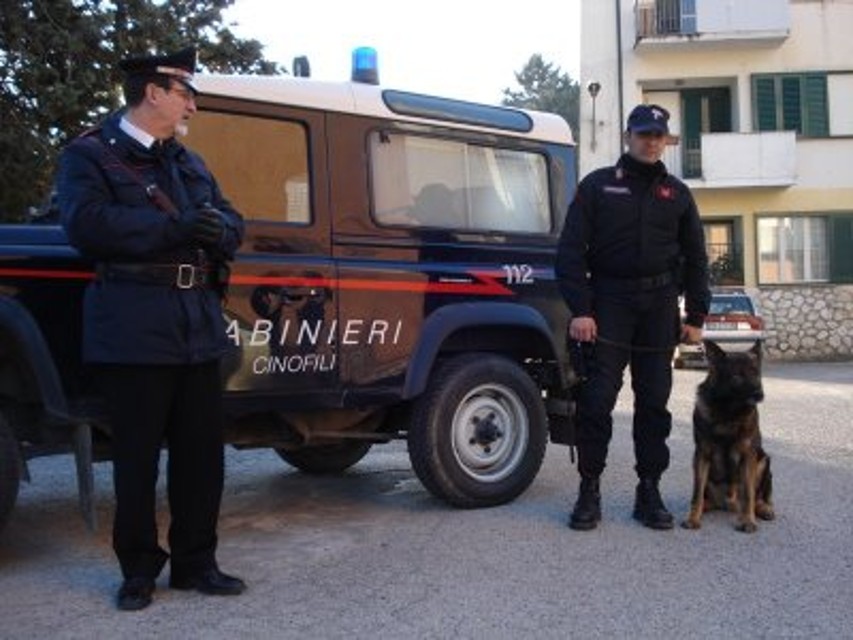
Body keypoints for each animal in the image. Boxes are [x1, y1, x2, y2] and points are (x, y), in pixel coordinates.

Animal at [684, 342, 776, 532]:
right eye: (737, 376)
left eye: (756, 373)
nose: (760, 394)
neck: (728, 412)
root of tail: (727, 504)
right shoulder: (702, 456)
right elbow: (696, 494)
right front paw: (693, 518)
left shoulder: (749, 456)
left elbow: (748, 494)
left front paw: (748, 520)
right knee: (704, 498)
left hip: (764, 461)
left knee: (758, 497)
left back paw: (763, 509)